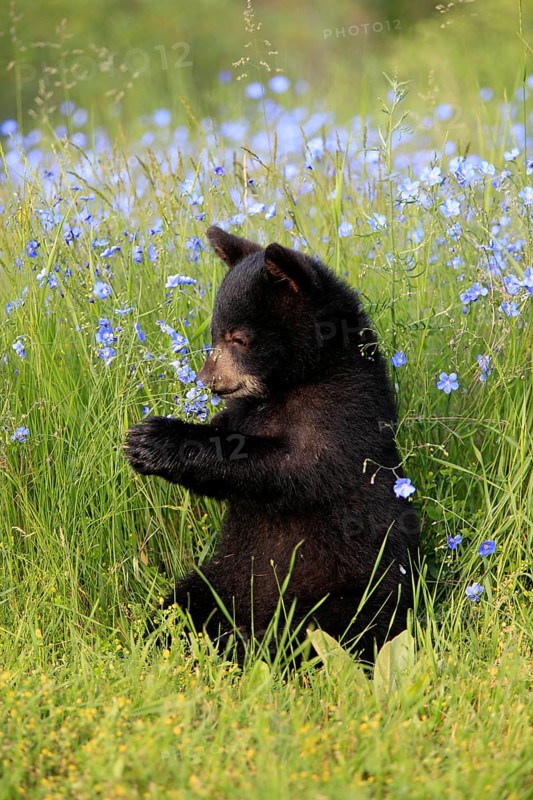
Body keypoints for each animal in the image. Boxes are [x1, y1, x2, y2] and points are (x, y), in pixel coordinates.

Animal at [125, 226, 419, 664]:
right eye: (215, 334)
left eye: (239, 338)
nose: (206, 380)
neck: (294, 382)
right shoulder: (245, 409)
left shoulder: (342, 412)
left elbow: (290, 467)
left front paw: (156, 438)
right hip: (225, 577)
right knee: (184, 601)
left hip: (355, 591)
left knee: (330, 630)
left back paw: (252, 643)